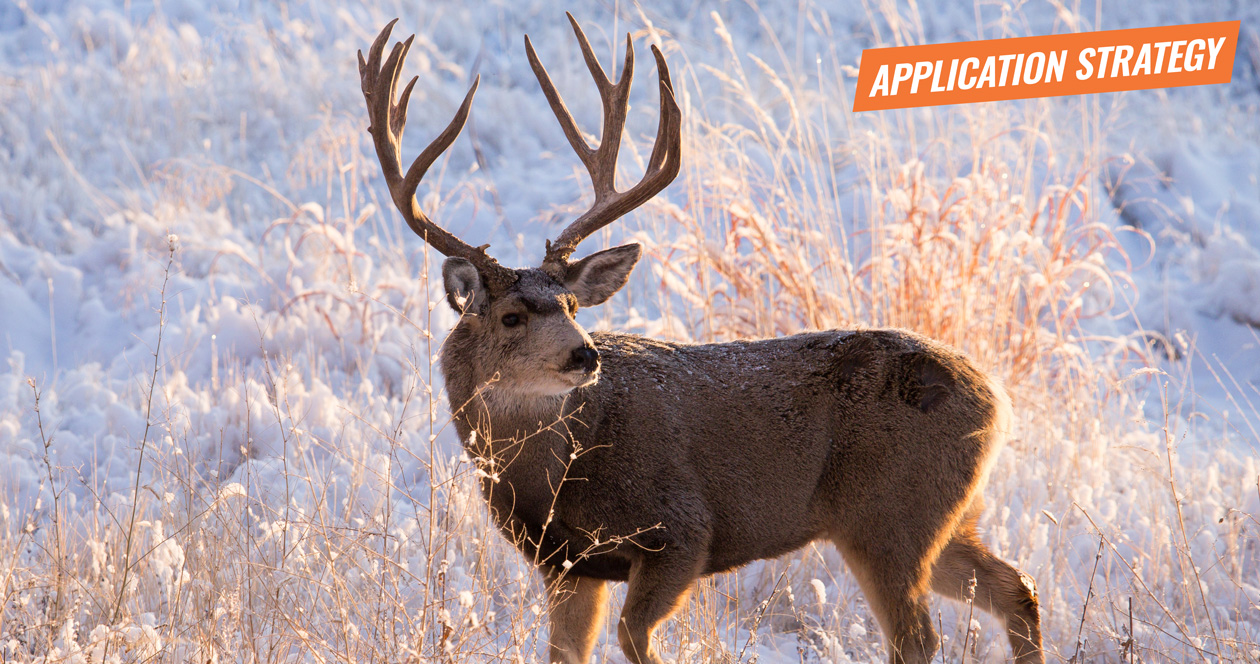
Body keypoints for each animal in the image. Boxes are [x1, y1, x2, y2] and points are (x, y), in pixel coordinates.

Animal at [358, 15, 1043, 664]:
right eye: (511, 317)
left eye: (573, 304)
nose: (585, 354)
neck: (552, 473)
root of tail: (998, 399)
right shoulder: (569, 565)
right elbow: (567, 652)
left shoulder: (684, 529)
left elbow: (635, 636)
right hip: (941, 515)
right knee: (1017, 588)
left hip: (889, 514)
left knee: (920, 637)